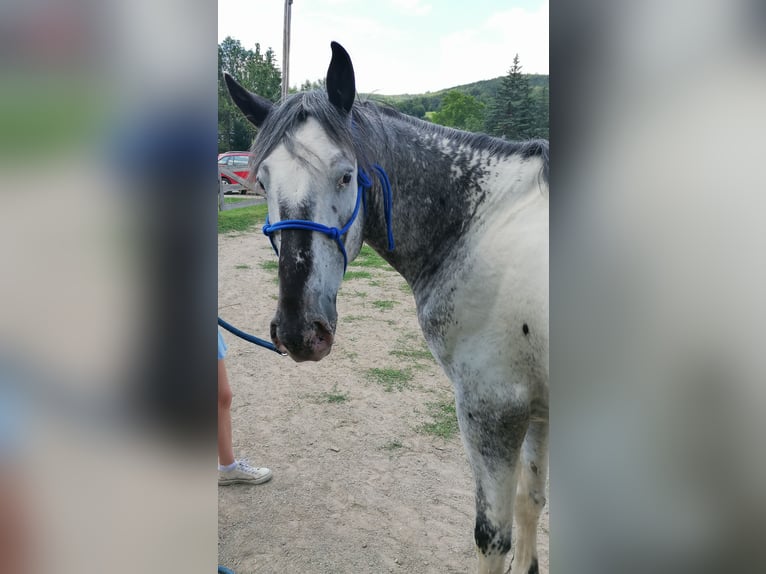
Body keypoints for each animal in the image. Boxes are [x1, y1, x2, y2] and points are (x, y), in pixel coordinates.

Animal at [225, 41, 548, 574]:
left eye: (346, 175)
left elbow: (492, 537)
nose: (298, 331)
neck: (480, 226)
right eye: (263, 180)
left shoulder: (493, 408)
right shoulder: (538, 408)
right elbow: (530, 505)